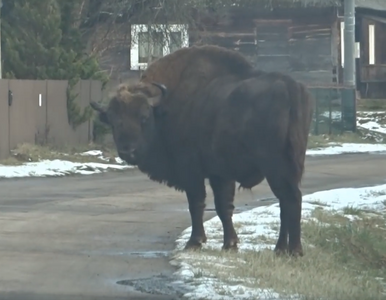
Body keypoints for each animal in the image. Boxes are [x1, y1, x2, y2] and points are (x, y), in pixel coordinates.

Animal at [90, 44, 314, 255]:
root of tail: (290, 87)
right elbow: (224, 207)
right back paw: (280, 249)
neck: (165, 107)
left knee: (290, 198)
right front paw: (230, 244)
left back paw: (293, 250)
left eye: (144, 117)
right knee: (286, 201)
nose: (128, 151)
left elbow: (196, 204)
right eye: (113, 121)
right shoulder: (220, 174)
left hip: (276, 167)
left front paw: (194, 242)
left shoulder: (192, 172)